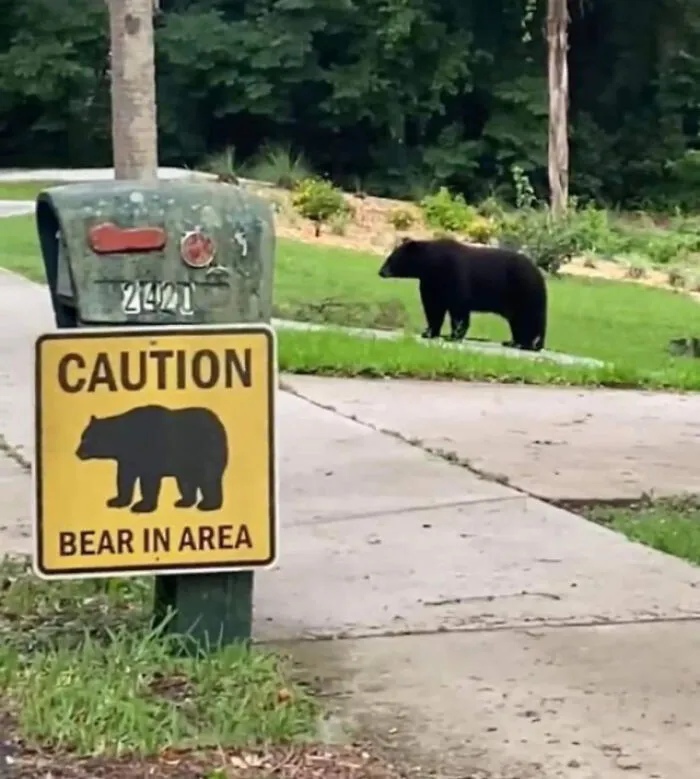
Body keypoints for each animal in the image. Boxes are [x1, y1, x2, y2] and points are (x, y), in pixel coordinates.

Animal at [75, 405, 229, 514]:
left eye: (86, 439)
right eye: (82, 437)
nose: (77, 452)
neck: (125, 439)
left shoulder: (150, 452)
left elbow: (148, 480)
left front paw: (142, 506)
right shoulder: (127, 459)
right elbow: (124, 479)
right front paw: (116, 501)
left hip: (206, 452)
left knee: (208, 479)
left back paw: (208, 505)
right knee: (186, 482)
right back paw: (184, 502)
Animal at [378, 237, 548, 351]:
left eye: (391, 258)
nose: (381, 272)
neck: (431, 264)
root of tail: (539, 273)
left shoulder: (453, 274)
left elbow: (458, 307)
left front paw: (453, 336)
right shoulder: (431, 283)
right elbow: (433, 307)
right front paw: (429, 332)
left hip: (524, 291)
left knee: (529, 319)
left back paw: (529, 344)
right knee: (518, 321)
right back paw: (513, 342)